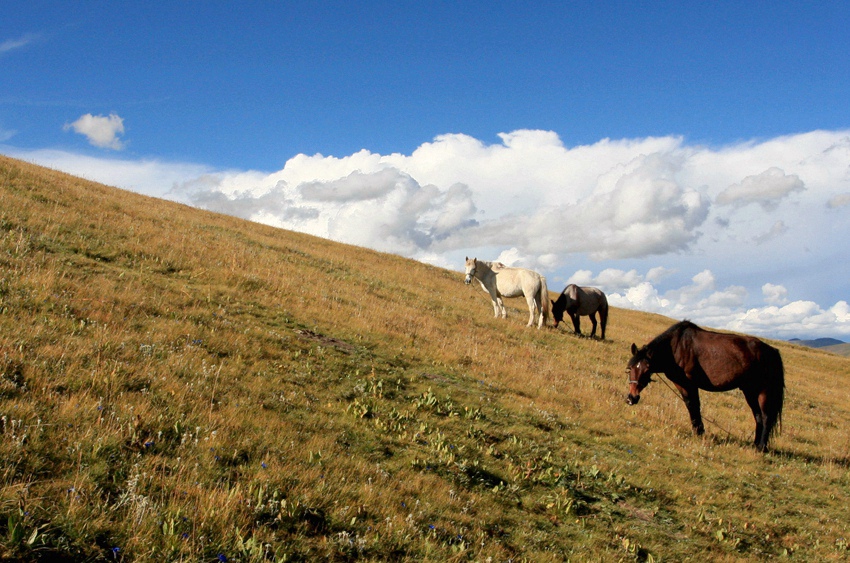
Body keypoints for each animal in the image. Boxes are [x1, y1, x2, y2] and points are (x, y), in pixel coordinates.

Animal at [624, 322, 780, 454]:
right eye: (630, 368)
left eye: (647, 370)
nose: (632, 398)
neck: (676, 348)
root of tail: (771, 351)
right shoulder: (681, 384)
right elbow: (691, 405)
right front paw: (698, 431)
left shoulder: (688, 384)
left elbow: (693, 405)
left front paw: (699, 432)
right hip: (750, 391)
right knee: (758, 417)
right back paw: (755, 445)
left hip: (763, 391)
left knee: (766, 417)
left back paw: (761, 448)